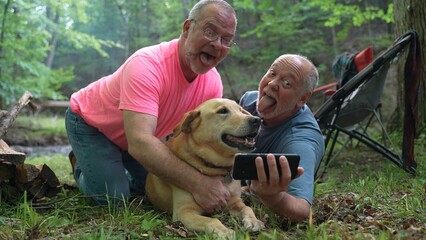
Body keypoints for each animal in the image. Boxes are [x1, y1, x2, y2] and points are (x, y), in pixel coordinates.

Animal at [145, 98, 262, 238]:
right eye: (222, 111)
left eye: (240, 110)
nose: (257, 120)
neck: (216, 168)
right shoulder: (184, 211)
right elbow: (212, 220)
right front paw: (225, 232)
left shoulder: (234, 202)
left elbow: (247, 208)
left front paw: (253, 220)